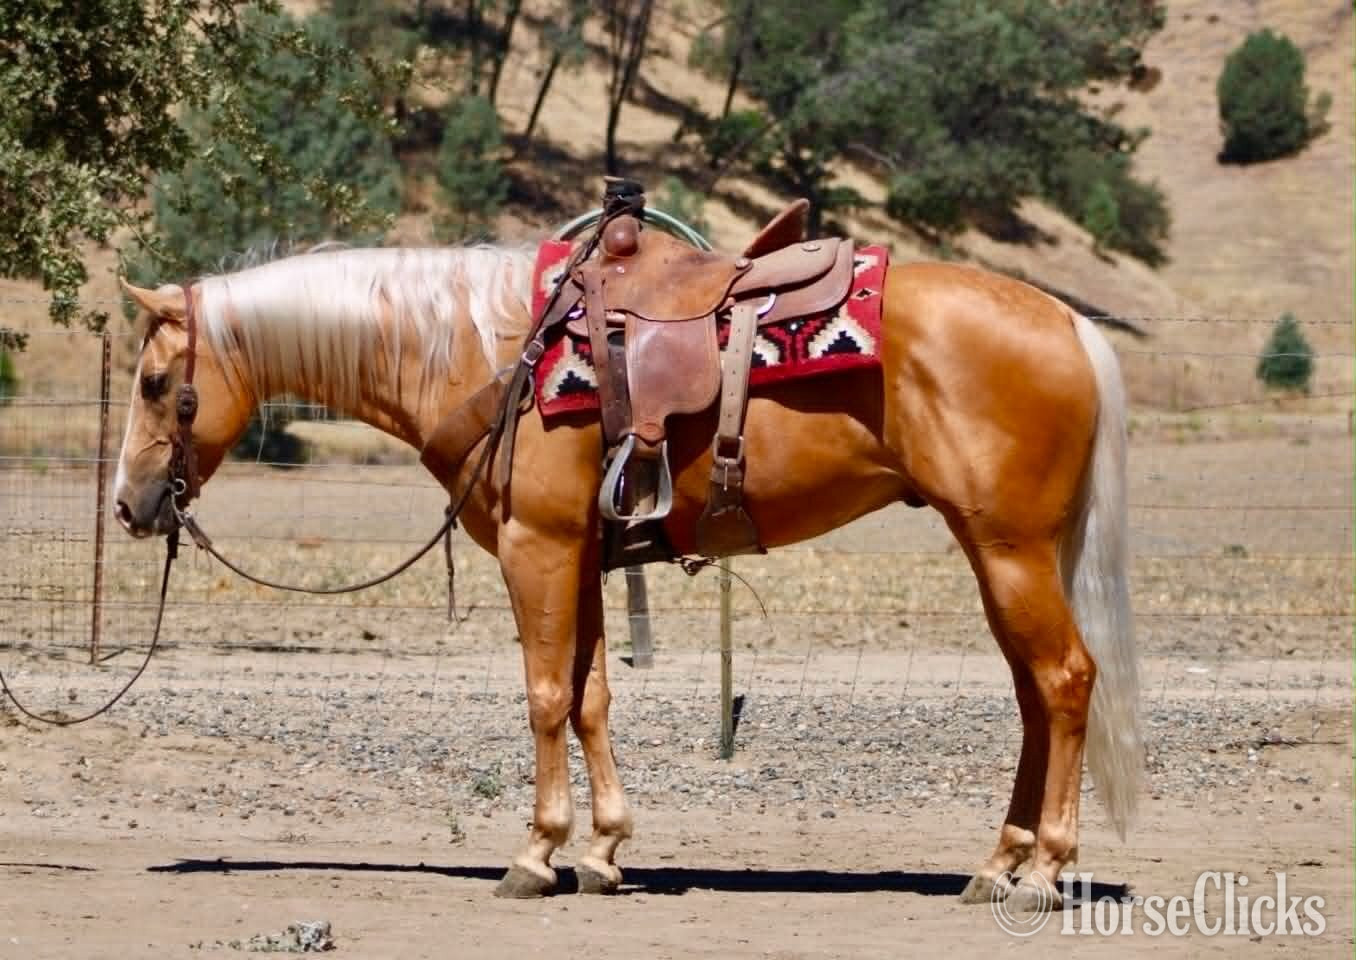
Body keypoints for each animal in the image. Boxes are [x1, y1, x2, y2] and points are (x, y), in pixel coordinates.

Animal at [114, 239, 1140, 909]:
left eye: (156, 385)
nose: (130, 504)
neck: (489, 349)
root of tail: (1070, 324)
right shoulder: (581, 555)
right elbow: (590, 695)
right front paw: (605, 850)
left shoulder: (536, 547)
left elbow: (541, 696)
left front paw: (536, 853)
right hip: (999, 555)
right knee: (1033, 696)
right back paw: (999, 863)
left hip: (1010, 552)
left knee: (1064, 681)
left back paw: (1046, 869)